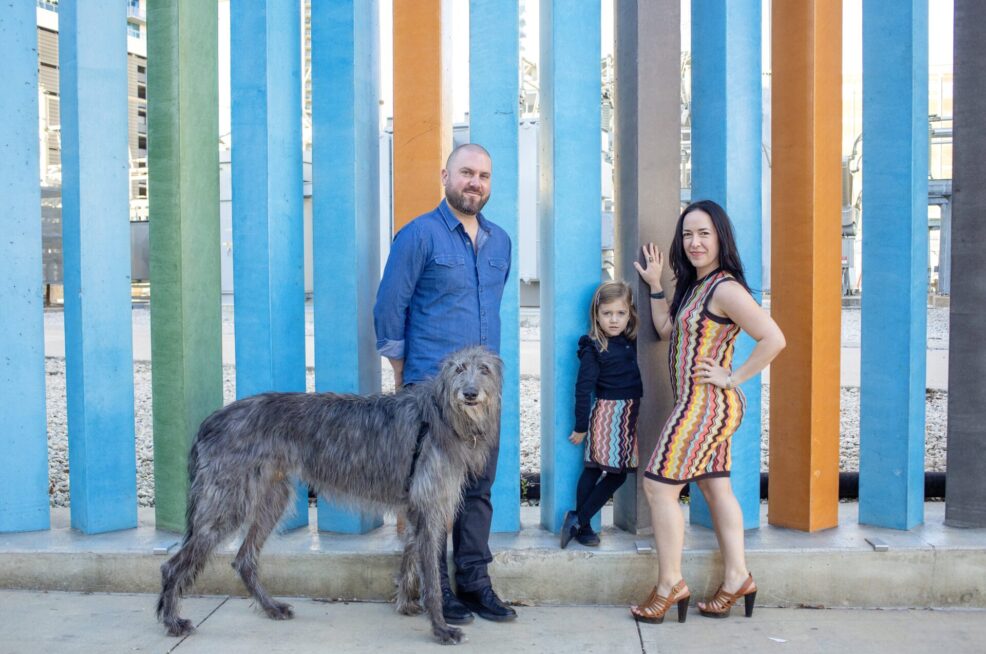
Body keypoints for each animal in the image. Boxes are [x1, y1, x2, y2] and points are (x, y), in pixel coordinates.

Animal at [159, 348, 504, 644]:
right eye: (459, 369)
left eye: (484, 369)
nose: (470, 394)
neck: (440, 415)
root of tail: (210, 422)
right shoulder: (429, 506)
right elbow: (430, 577)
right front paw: (441, 629)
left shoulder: (417, 507)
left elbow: (409, 557)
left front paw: (405, 603)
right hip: (227, 502)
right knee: (173, 566)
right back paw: (172, 621)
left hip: (271, 498)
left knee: (244, 559)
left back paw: (271, 607)